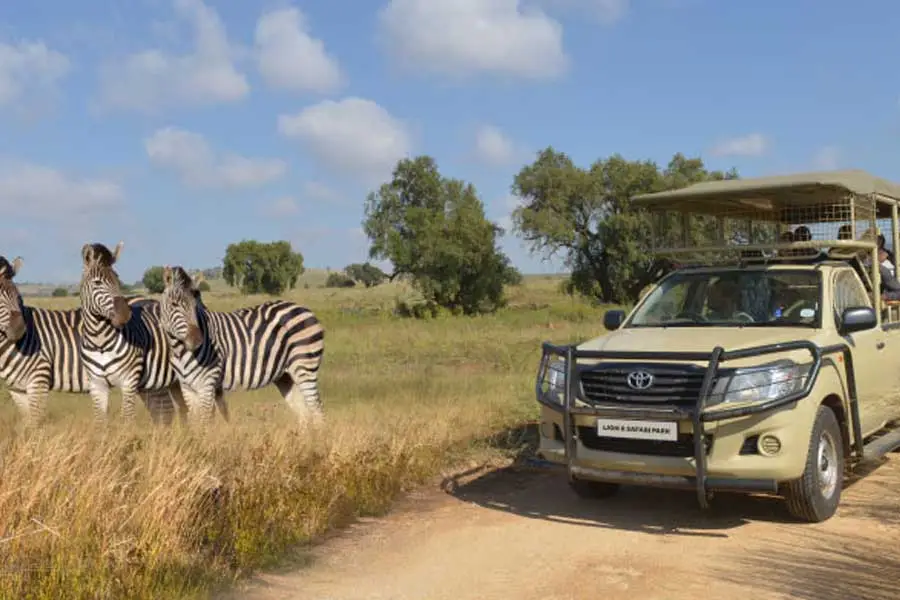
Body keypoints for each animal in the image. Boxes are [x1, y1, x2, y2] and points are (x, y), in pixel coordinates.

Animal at [0, 254, 177, 427]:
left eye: (17, 295)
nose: (19, 329)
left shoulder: (39, 379)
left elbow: (35, 425)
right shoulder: (17, 389)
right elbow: (27, 424)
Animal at [77, 241, 224, 424]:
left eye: (118, 279)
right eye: (97, 282)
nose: (125, 314)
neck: (100, 341)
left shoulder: (129, 381)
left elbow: (128, 419)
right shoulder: (97, 385)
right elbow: (100, 422)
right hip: (169, 383)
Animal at [158, 265, 325, 426]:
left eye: (195, 306)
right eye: (174, 304)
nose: (197, 340)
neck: (180, 351)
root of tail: (304, 309)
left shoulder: (206, 384)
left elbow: (204, 424)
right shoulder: (187, 387)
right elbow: (195, 423)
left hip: (305, 367)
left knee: (317, 412)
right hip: (285, 376)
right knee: (304, 415)